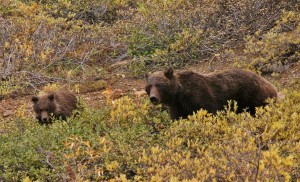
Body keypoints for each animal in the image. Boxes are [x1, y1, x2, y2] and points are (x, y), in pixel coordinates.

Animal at [145, 67, 276, 120]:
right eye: (149, 86)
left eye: (159, 85)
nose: (153, 98)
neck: (179, 95)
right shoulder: (177, 107)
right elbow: (178, 119)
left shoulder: (200, 97)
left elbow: (210, 112)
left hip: (254, 97)